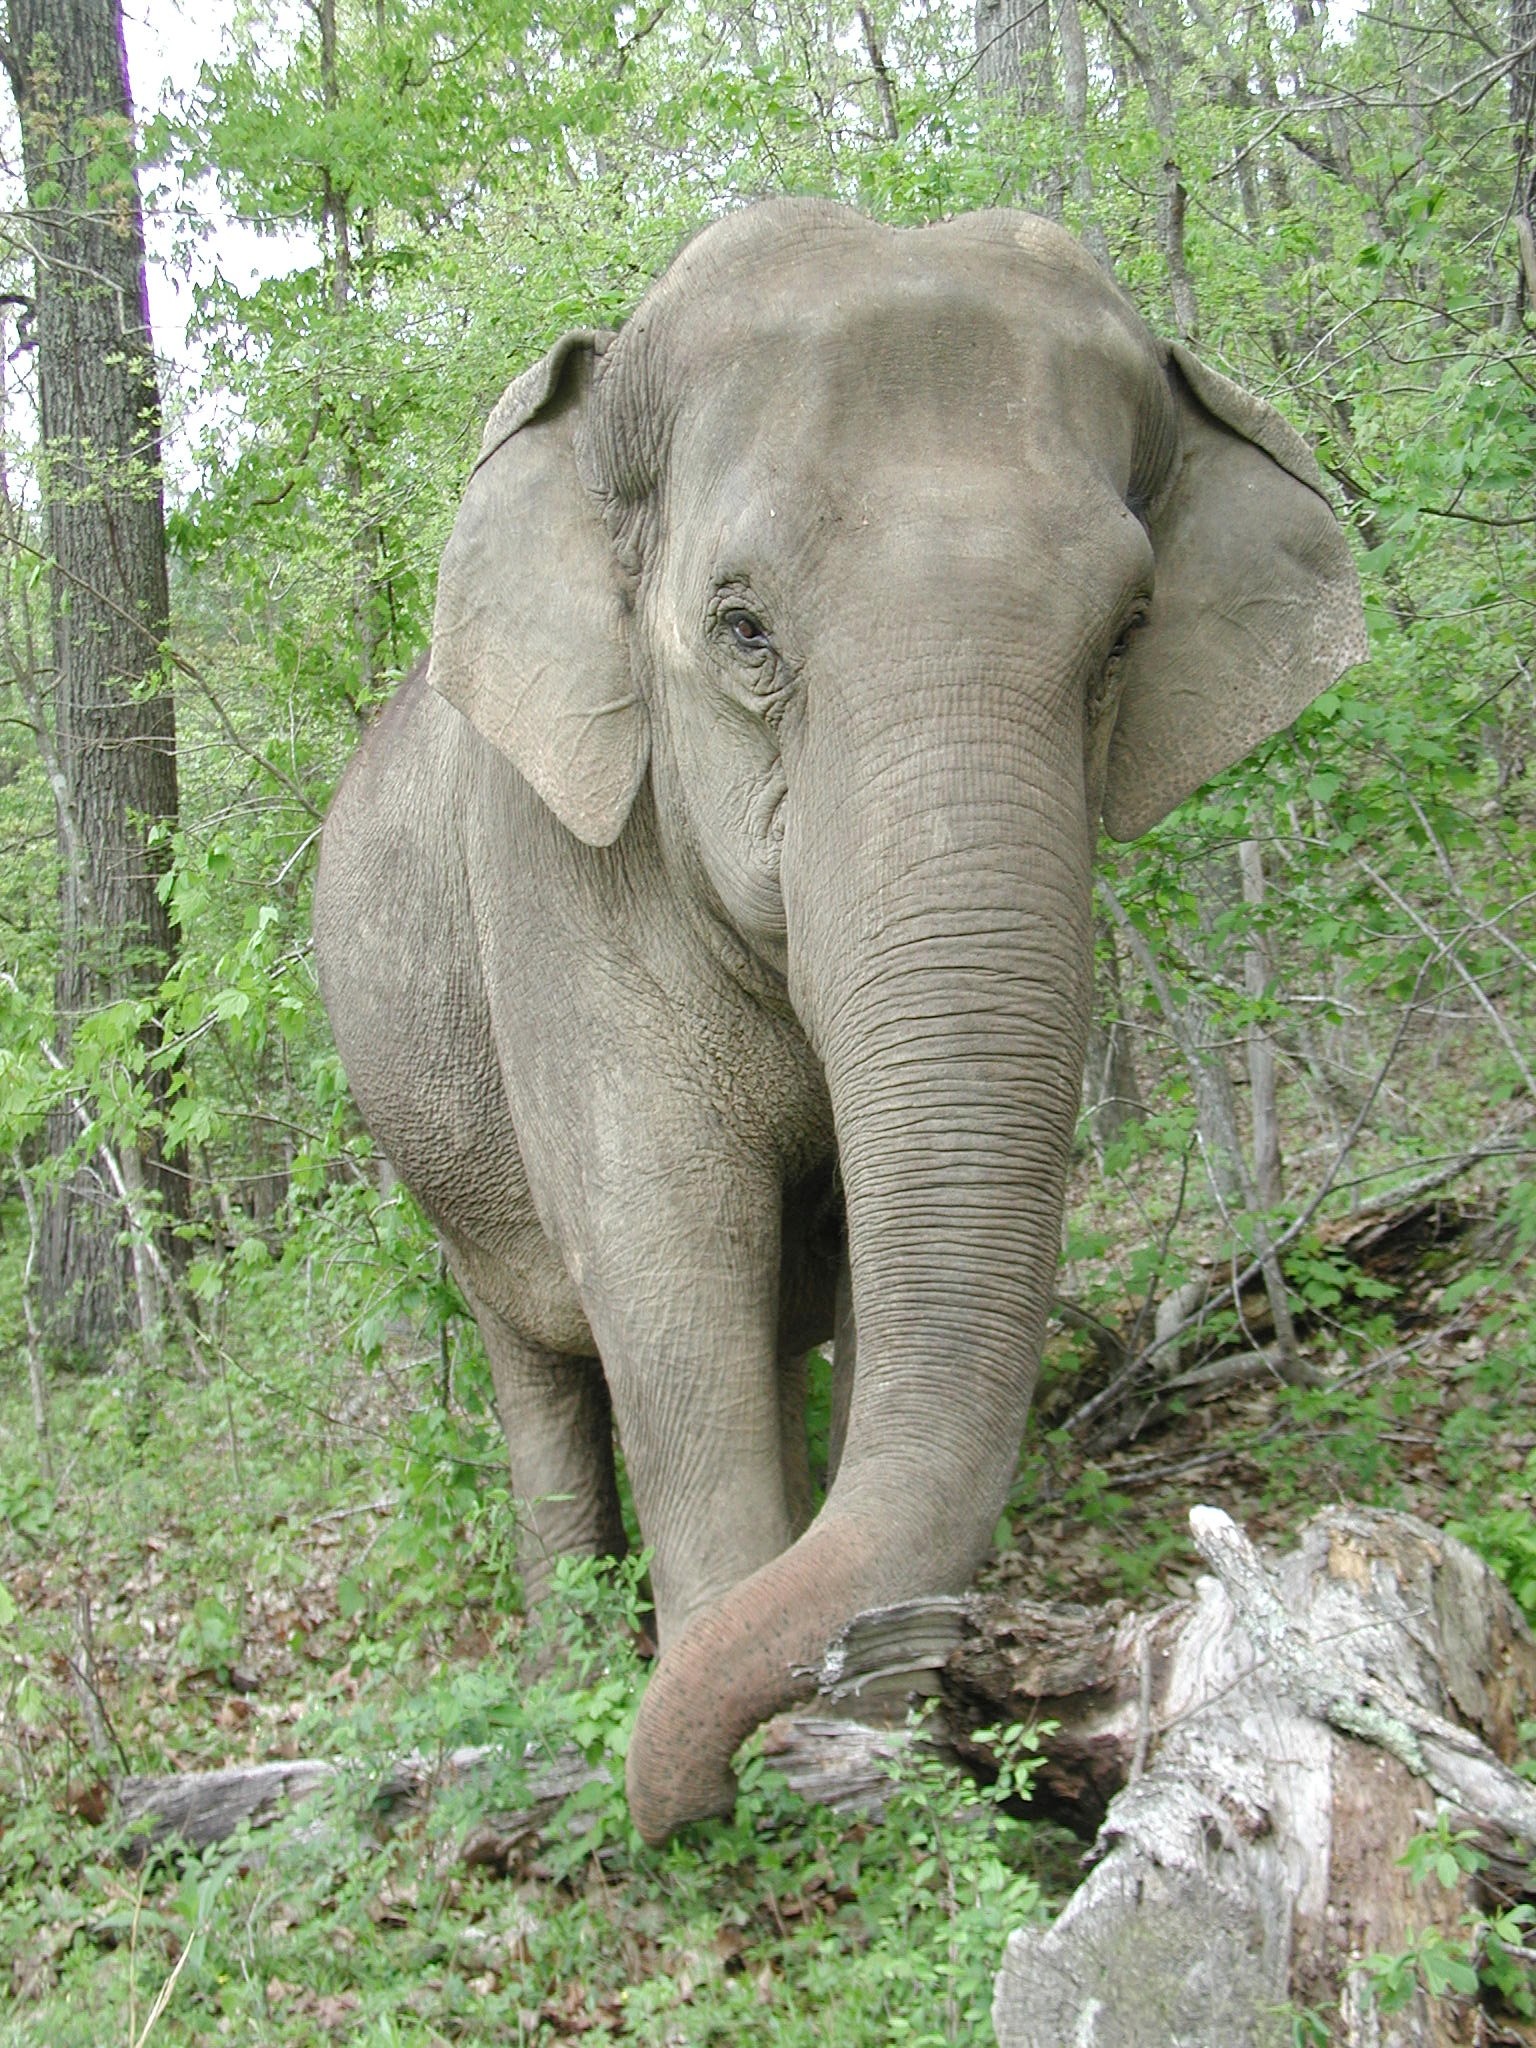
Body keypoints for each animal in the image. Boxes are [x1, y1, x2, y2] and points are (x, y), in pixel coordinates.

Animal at [314, 197, 1366, 1846]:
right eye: (741, 629)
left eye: (1128, 632)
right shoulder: (552, 874)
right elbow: (670, 1257)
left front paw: (871, 1724)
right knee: (538, 1369)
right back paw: (572, 1671)